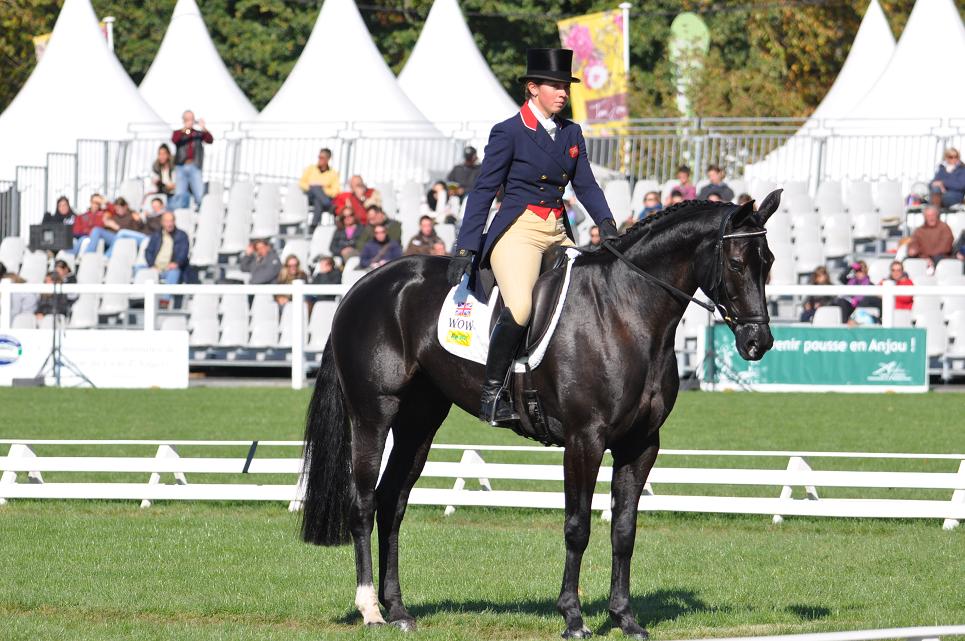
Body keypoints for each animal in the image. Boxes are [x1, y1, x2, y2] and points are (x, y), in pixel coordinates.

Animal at [304, 192, 784, 636]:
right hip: (373, 415)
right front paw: (573, 617)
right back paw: (370, 610)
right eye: (737, 263)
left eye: (770, 261)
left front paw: (625, 618)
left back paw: (399, 611)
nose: (757, 343)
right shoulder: (584, 439)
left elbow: (624, 530)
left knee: (392, 502)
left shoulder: (641, 444)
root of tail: (362, 287)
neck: (626, 311)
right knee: (364, 503)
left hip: (419, 422)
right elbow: (577, 526)